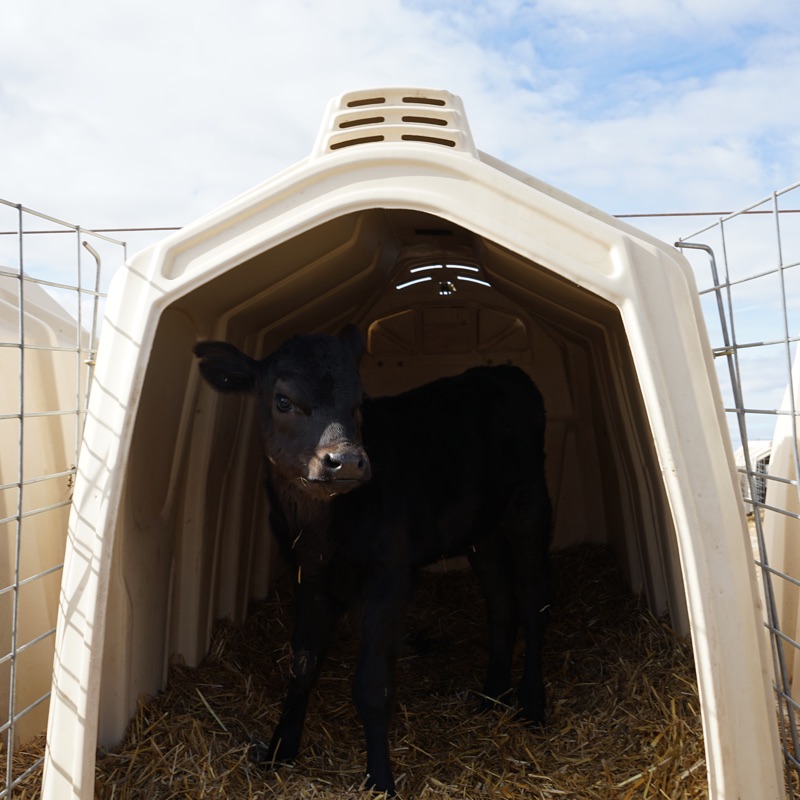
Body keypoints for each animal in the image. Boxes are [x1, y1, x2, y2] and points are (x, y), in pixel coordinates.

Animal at [193, 325, 552, 795]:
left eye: (359, 400)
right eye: (283, 400)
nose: (345, 460)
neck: (322, 527)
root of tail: (505, 372)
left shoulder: (390, 574)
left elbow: (371, 684)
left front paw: (380, 778)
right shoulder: (308, 573)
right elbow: (302, 663)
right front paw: (278, 750)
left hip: (528, 504)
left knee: (532, 598)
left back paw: (531, 703)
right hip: (482, 531)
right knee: (502, 604)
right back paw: (492, 696)